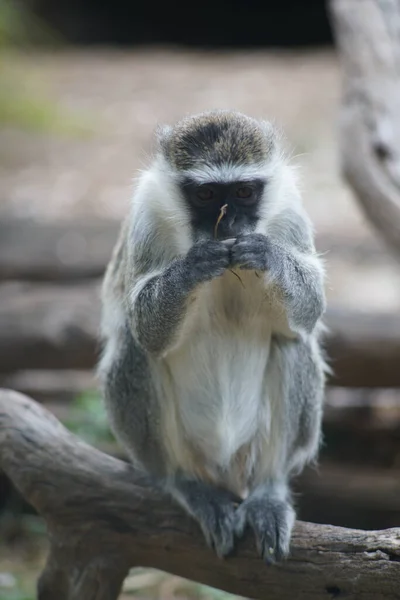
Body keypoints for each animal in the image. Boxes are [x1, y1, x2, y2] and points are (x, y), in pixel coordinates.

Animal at [97, 108, 328, 564]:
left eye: (244, 191)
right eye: (205, 195)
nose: (230, 223)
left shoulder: (290, 211)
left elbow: (309, 308)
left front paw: (268, 256)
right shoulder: (147, 216)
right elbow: (145, 327)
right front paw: (194, 266)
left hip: (250, 454)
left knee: (292, 344)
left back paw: (268, 493)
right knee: (135, 349)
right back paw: (188, 485)